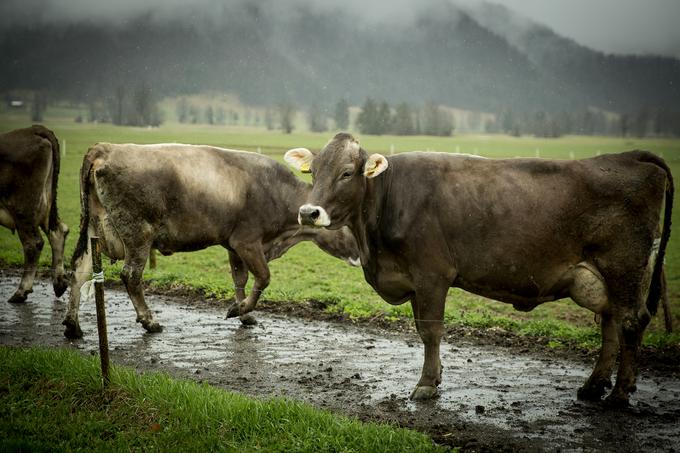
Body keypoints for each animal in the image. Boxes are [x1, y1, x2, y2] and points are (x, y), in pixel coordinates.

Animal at [0, 124, 69, 304]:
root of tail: (33, 129)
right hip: (44, 205)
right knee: (58, 231)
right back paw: (59, 283)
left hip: (24, 208)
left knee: (33, 243)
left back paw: (21, 291)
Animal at [65, 143, 362, 338]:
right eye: (348, 226)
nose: (362, 256)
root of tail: (107, 148)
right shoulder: (247, 242)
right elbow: (263, 278)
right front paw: (240, 309)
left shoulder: (233, 245)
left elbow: (240, 280)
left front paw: (244, 313)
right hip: (138, 234)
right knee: (131, 275)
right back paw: (150, 321)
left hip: (94, 229)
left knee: (79, 270)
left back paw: (73, 325)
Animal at [284, 132, 672, 404]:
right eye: (313, 171)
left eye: (347, 173)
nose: (309, 212)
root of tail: (631, 157)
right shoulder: (413, 279)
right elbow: (422, 330)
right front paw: (436, 377)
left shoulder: (432, 275)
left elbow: (430, 331)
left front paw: (426, 385)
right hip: (603, 278)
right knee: (611, 324)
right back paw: (593, 386)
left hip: (625, 268)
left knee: (630, 323)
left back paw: (619, 394)